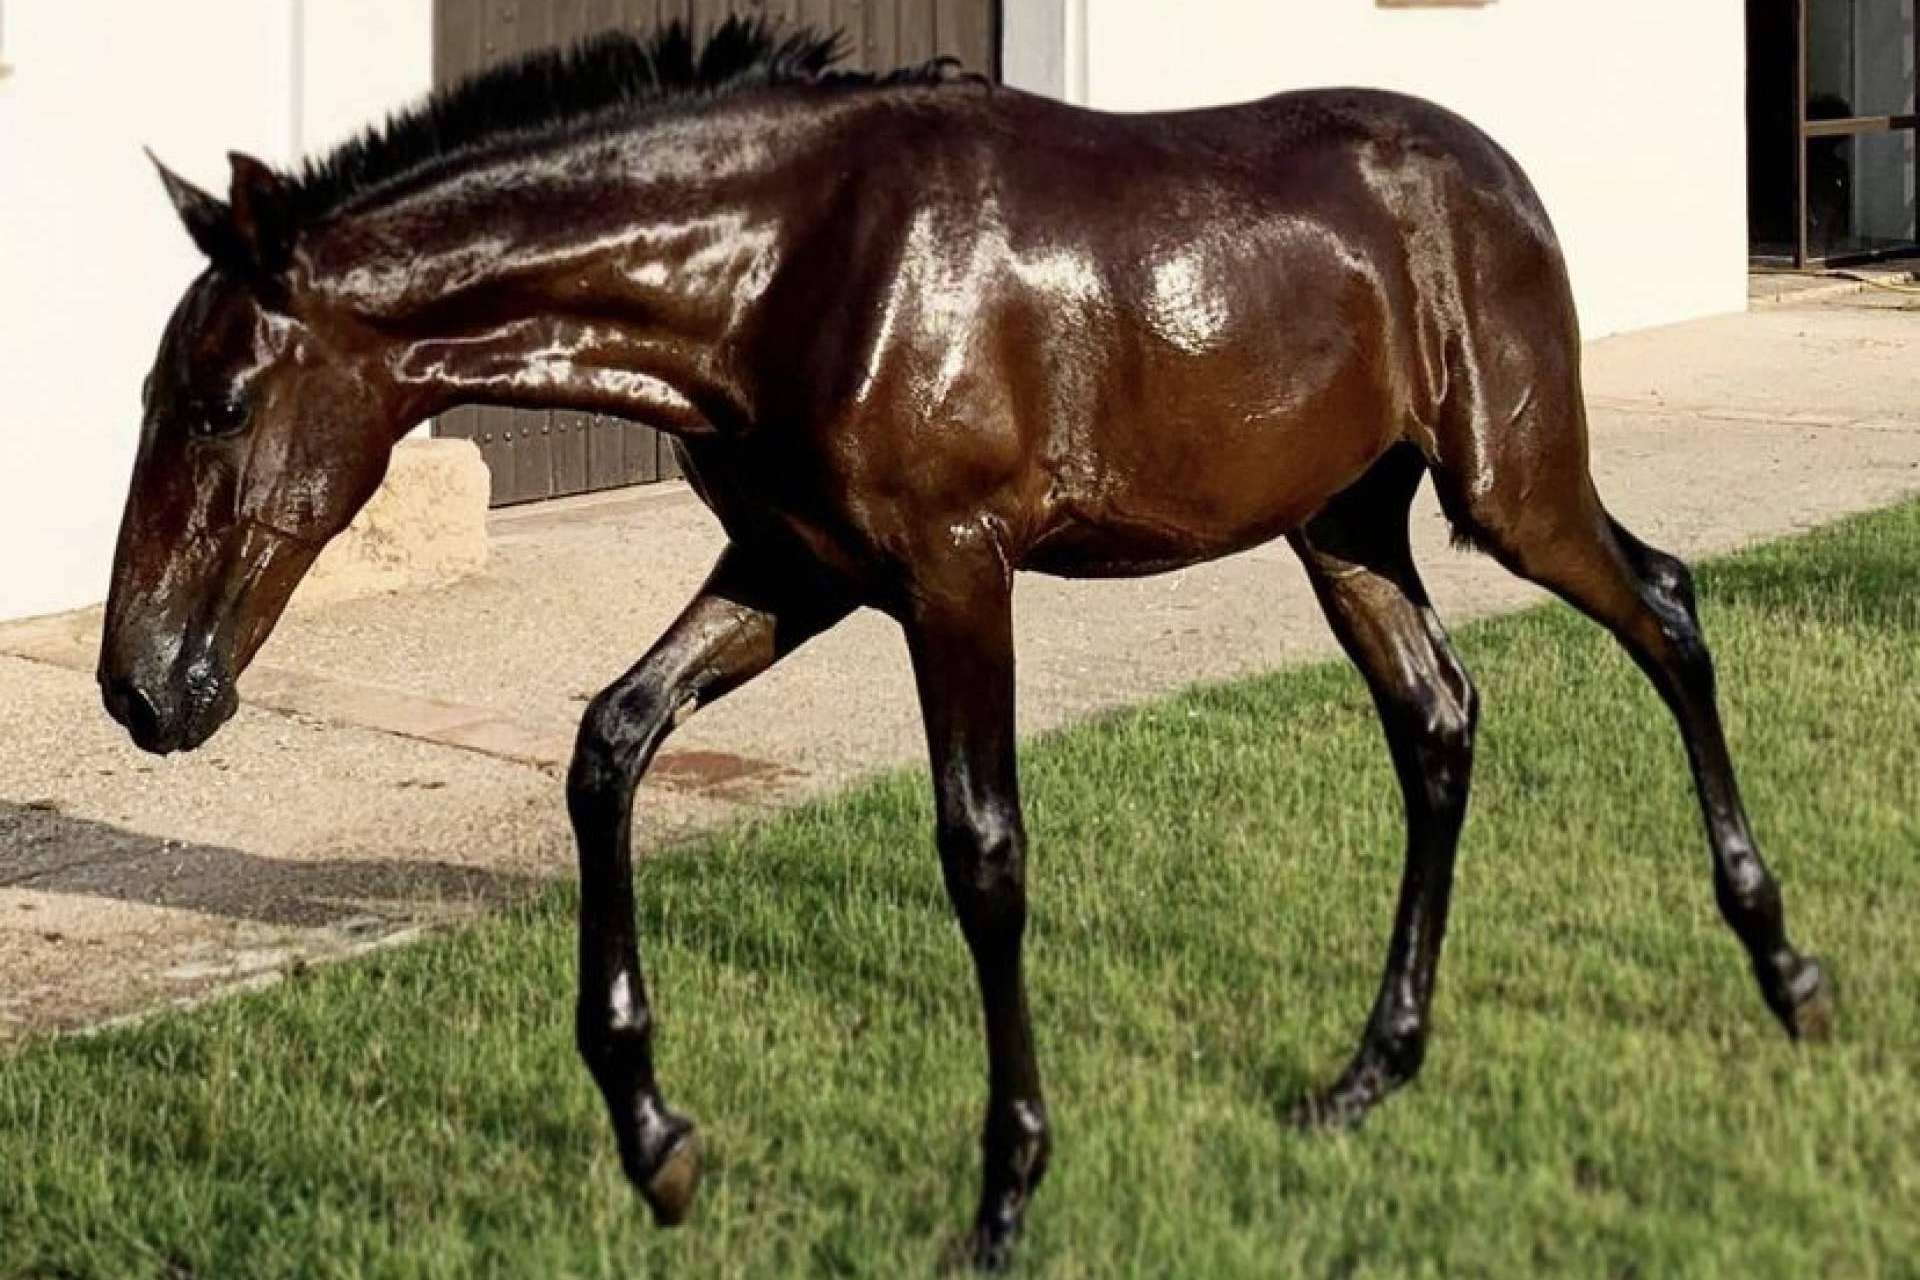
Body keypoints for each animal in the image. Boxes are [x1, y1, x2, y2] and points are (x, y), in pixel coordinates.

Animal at [100, 19, 1832, 1270]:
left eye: (222, 400)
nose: (144, 686)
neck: (790, 264)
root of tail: (1497, 179)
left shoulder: (953, 578)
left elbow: (982, 852)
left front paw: (1006, 1193)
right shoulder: (792, 570)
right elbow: (609, 745)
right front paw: (658, 1146)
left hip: (1510, 489)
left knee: (1667, 611)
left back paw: (1790, 975)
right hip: (1347, 529)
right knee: (1439, 720)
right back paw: (1367, 1074)